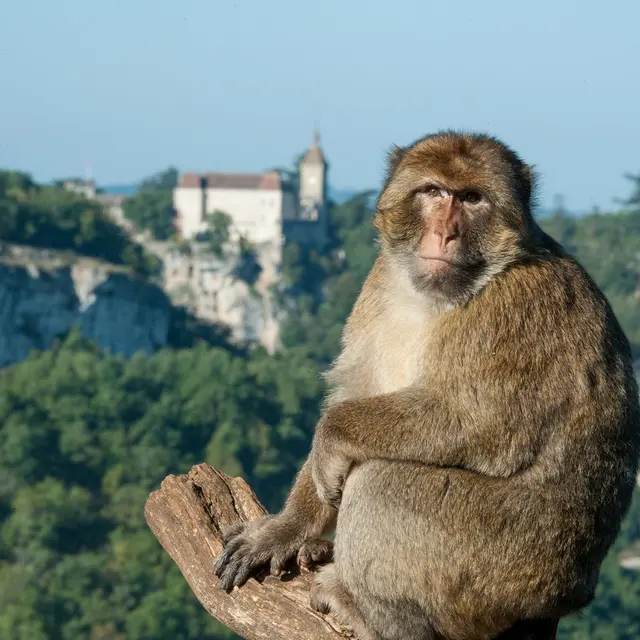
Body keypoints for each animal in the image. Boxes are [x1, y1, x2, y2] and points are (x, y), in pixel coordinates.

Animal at [214, 131, 640, 640]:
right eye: (434, 192)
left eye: (472, 199)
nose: (446, 233)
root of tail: (572, 594)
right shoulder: (378, 280)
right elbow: (356, 394)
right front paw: (288, 528)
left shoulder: (514, 308)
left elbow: (478, 423)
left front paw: (331, 435)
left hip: (506, 565)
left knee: (379, 482)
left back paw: (373, 614)